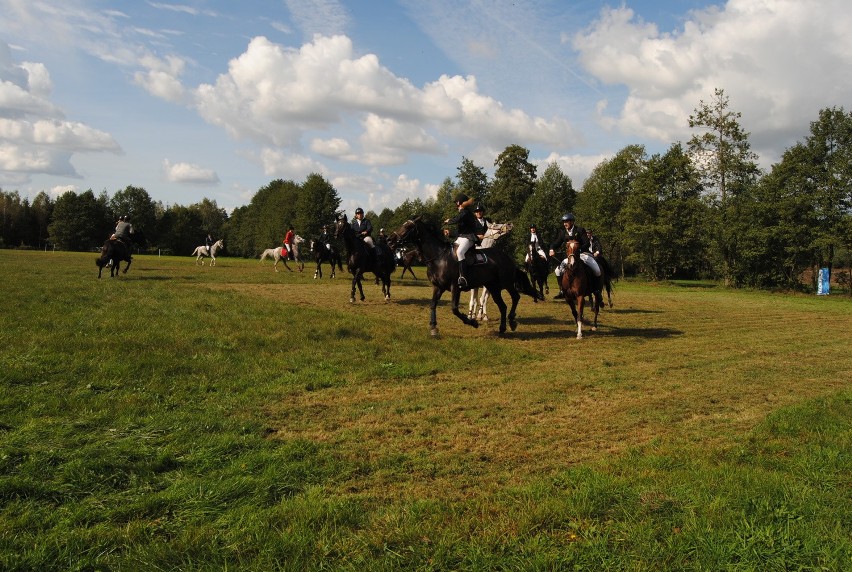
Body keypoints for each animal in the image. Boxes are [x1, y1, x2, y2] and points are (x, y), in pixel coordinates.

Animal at [386, 217, 540, 338]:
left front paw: (472, 321)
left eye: (408, 226)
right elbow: (433, 304)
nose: (389, 239)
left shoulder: (455, 287)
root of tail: (507, 257)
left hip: (506, 283)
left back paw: (512, 321)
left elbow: (455, 308)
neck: (438, 257)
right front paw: (434, 328)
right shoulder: (438, 287)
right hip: (493, 287)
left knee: (515, 297)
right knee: (502, 305)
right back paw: (502, 328)